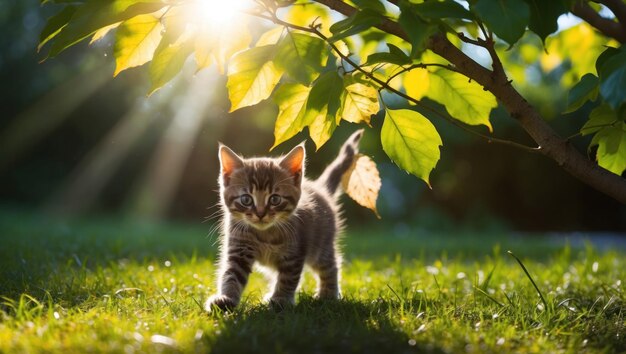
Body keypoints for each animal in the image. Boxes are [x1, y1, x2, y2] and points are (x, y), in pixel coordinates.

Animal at [205, 129, 360, 310]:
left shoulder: (294, 253)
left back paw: (328, 293)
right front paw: (226, 298)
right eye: (246, 199)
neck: (264, 234)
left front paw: (281, 299)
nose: (260, 213)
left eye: (274, 199)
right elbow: (232, 274)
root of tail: (320, 188)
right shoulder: (239, 247)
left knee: (330, 265)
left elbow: (288, 278)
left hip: (321, 245)